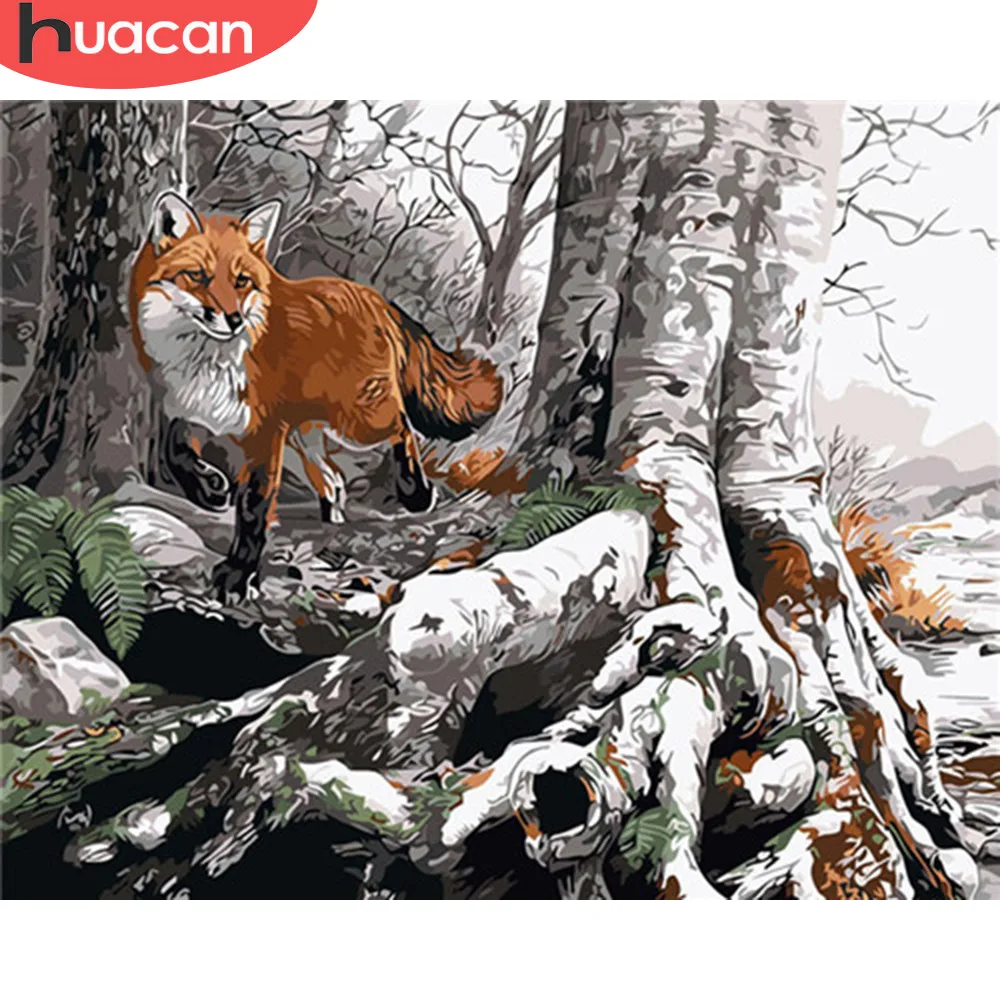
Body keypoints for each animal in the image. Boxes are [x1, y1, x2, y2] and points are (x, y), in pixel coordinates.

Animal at [129, 191, 503, 600]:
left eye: (242, 281)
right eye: (197, 276)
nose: (233, 320)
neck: (207, 364)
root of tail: (376, 299)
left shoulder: (264, 434)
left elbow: (253, 507)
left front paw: (238, 573)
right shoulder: (192, 408)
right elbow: (173, 449)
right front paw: (208, 489)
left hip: (355, 424)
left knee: (402, 427)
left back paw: (416, 493)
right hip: (304, 437)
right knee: (334, 481)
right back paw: (333, 531)